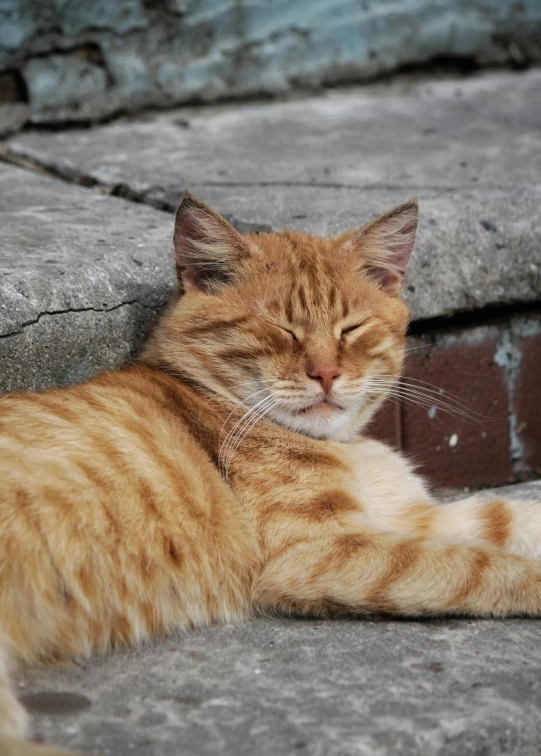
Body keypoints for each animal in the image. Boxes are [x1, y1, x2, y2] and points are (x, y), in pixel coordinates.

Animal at [1, 192, 540, 752]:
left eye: (351, 328)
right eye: (282, 328)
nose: (326, 374)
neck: (344, 446)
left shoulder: (406, 515)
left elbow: (504, 518)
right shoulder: (319, 552)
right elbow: (481, 564)